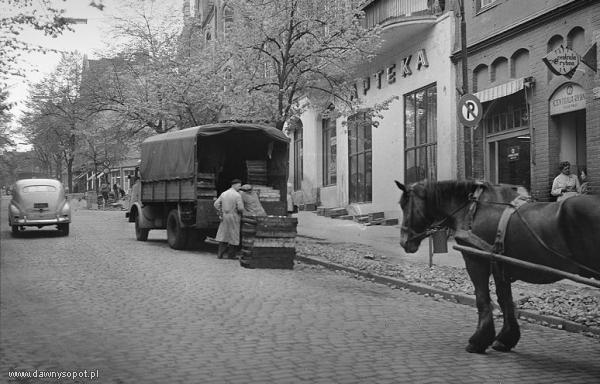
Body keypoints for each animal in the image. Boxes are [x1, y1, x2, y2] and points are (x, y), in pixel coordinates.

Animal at [394, 180, 600, 354]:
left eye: (405, 205)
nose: (404, 242)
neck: (473, 209)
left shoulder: (476, 260)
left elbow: (482, 298)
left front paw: (479, 340)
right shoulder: (500, 264)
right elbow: (505, 300)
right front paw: (506, 338)